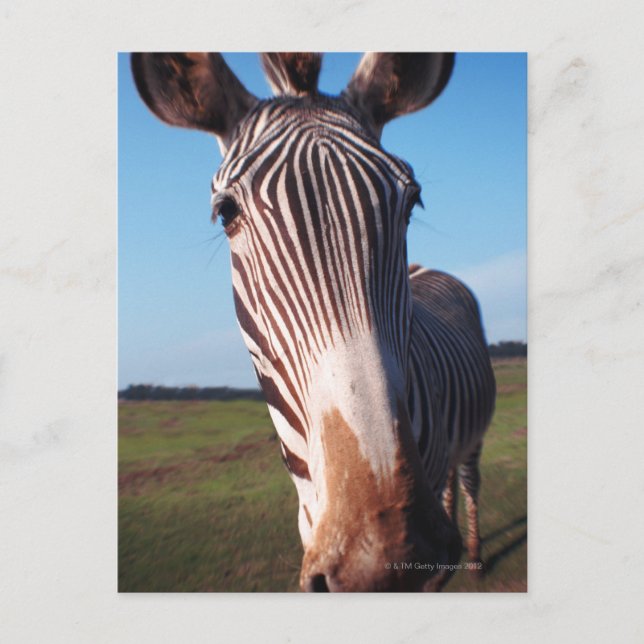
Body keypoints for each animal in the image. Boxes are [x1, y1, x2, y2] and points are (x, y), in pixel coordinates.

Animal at [131, 52, 496, 592]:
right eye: (225, 212)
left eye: (412, 203)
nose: (386, 558)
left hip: (476, 433)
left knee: (469, 478)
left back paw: (474, 552)